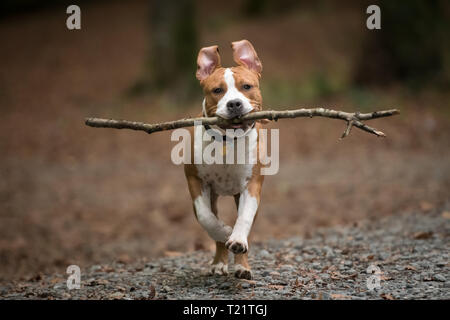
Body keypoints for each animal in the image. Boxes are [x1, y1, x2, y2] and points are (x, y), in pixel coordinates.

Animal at [184, 40, 268, 280]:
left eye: (247, 86)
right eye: (217, 90)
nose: (234, 104)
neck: (227, 141)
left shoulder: (251, 185)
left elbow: (244, 219)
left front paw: (237, 240)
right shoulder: (196, 181)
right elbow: (206, 217)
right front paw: (223, 232)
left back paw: (242, 266)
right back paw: (219, 262)